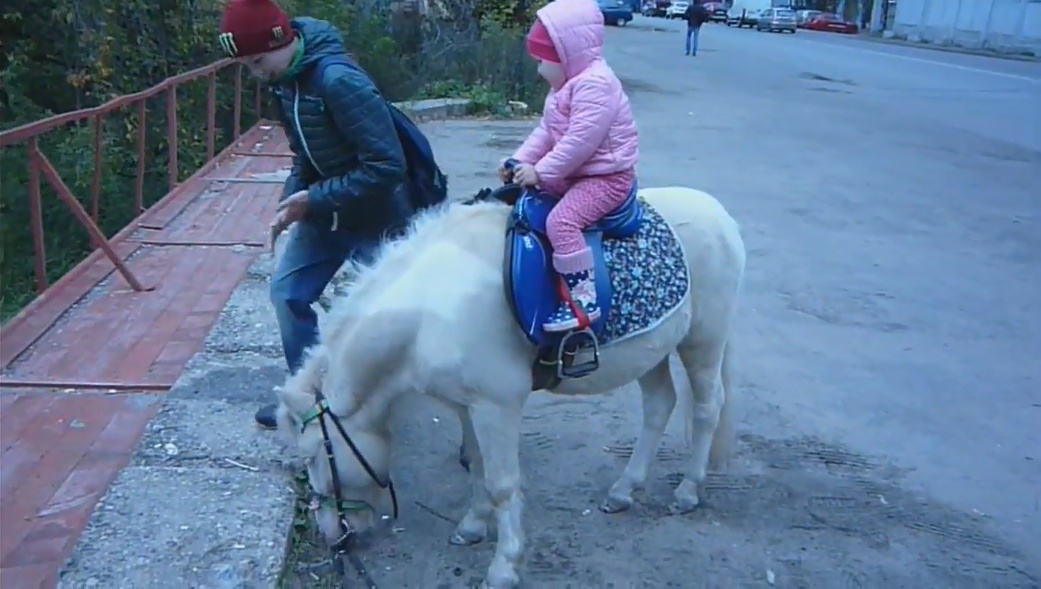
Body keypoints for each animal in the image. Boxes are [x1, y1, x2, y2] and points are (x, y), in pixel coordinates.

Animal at [276, 186, 745, 589]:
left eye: (314, 456)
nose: (333, 537)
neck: (431, 308)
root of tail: (720, 214)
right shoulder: (467, 405)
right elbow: (478, 469)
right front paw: (471, 526)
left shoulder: (497, 405)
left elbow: (502, 483)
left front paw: (505, 567)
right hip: (652, 349)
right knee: (660, 404)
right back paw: (624, 490)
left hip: (703, 341)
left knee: (707, 408)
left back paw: (688, 491)